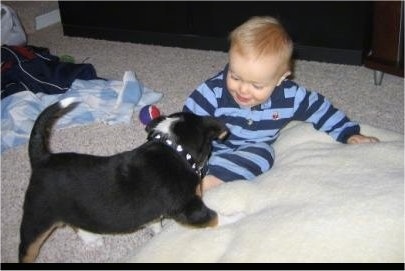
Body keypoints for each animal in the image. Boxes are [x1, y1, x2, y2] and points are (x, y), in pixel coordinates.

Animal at [19, 98, 227, 264]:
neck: (175, 150)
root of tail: (43, 158)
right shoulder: (190, 208)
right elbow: (215, 217)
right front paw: (232, 219)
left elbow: (155, 224)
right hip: (38, 217)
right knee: (27, 249)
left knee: (75, 223)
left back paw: (92, 239)